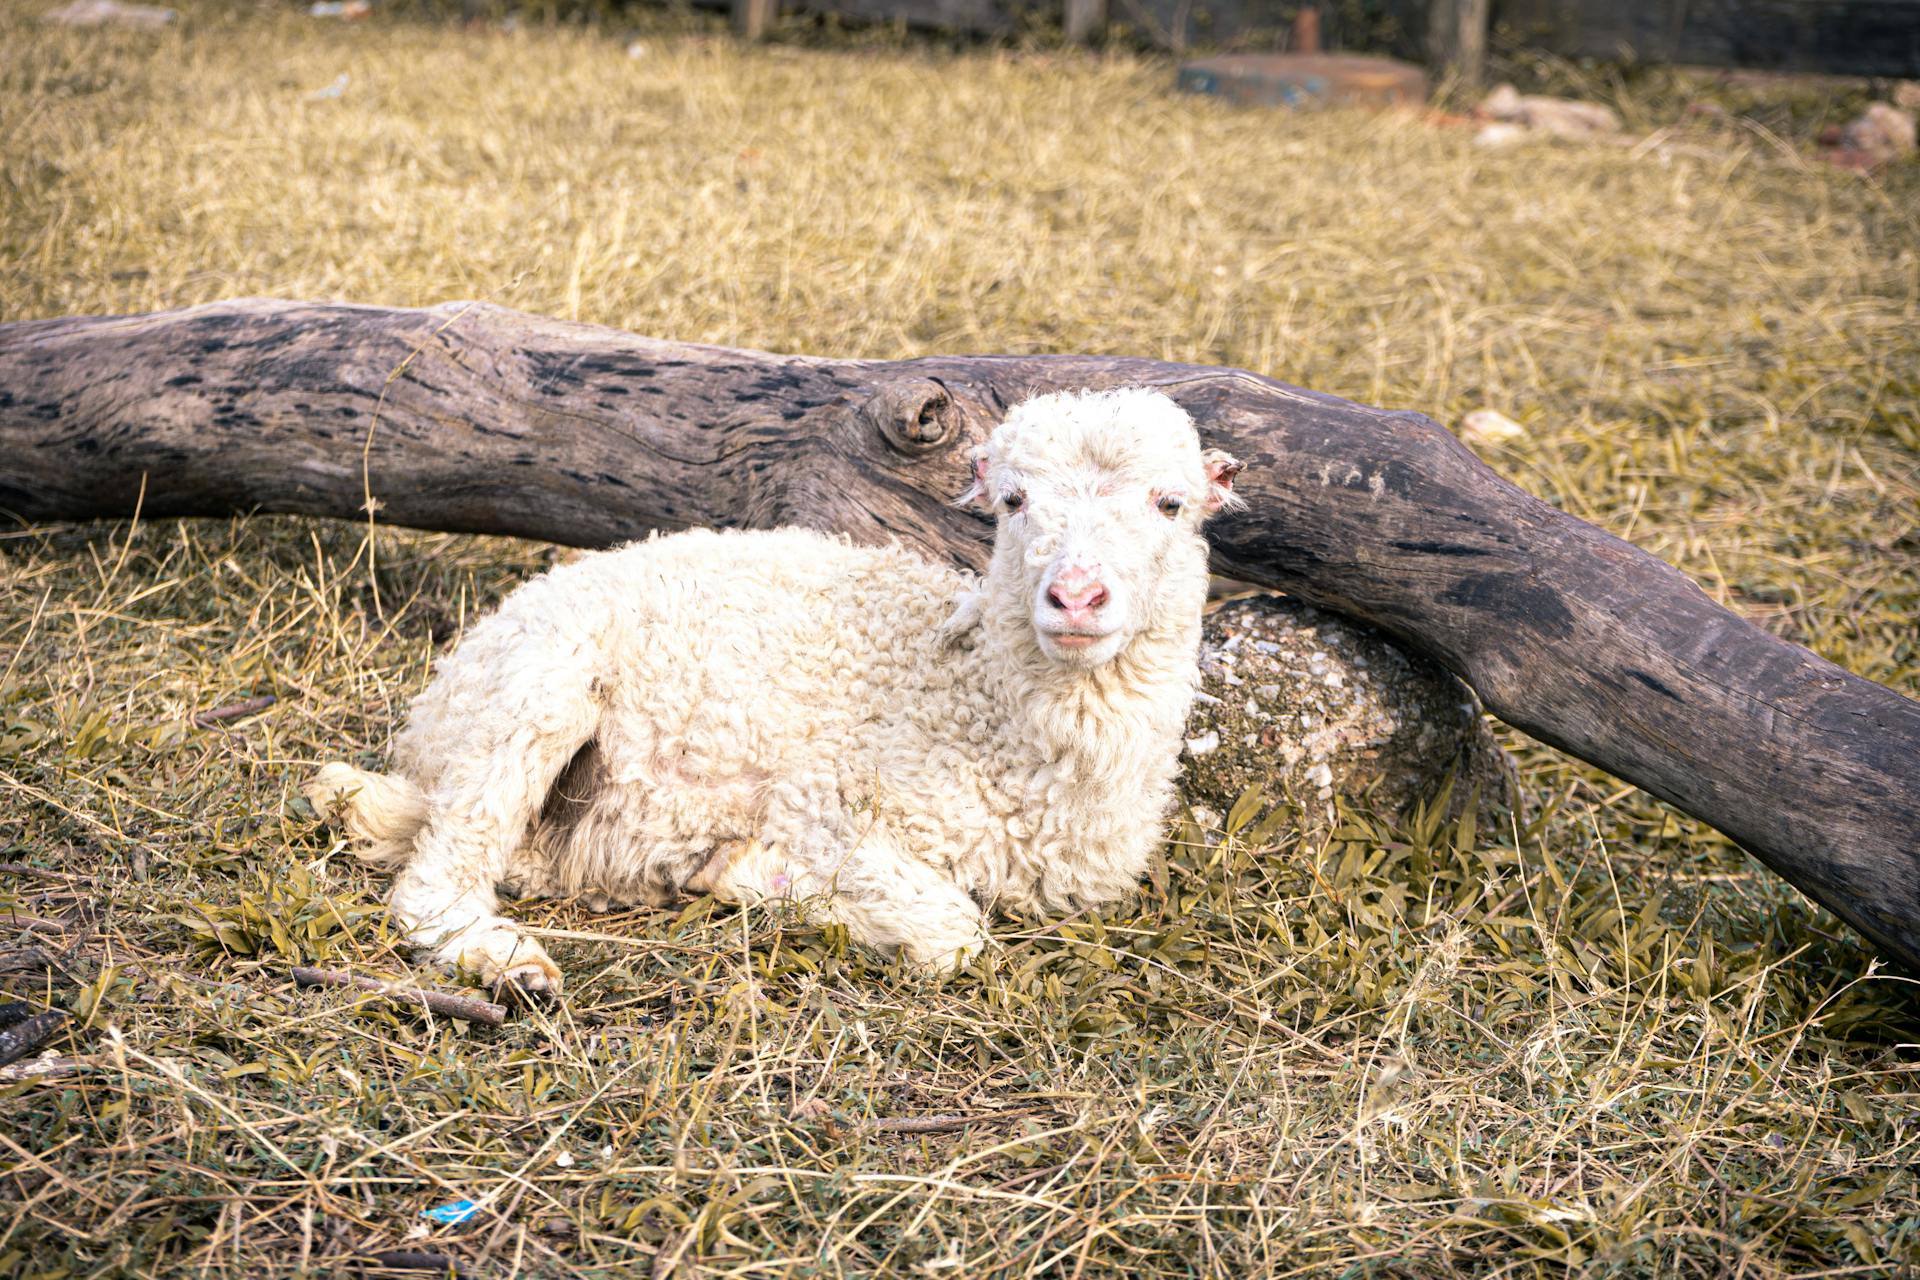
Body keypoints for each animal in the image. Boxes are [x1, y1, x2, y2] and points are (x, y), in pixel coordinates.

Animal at [305, 385, 1244, 997]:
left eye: (1171, 504)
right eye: (1013, 502)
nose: (1076, 597)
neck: (976, 697)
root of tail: (428, 721)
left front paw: (744, 878)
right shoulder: (820, 805)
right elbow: (955, 933)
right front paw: (771, 881)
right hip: (535, 690)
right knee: (436, 877)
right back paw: (510, 963)